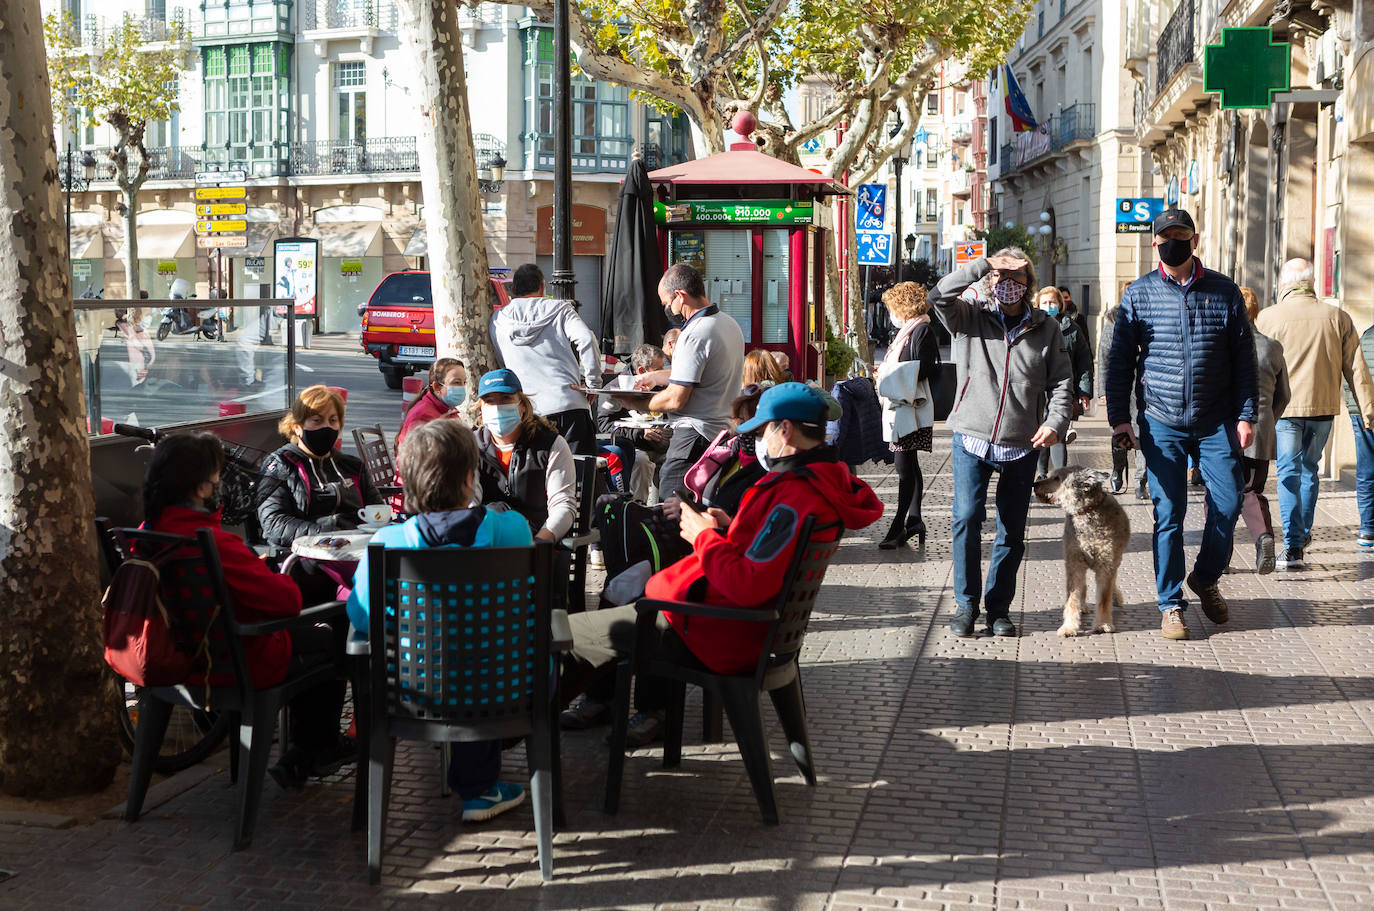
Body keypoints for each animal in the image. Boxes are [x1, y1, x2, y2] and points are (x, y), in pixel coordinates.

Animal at [1033, 469, 1132, 634]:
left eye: (1057, 478)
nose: (1035, 484)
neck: (1086, 512)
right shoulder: (1074, 562)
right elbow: (1072, 596)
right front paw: (1069, 626)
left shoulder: (1107, 564)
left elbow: (1104, 597)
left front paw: (1103, 624)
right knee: (1083, 586)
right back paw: (1083, 606)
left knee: (1112, 582)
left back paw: (1116, 598)